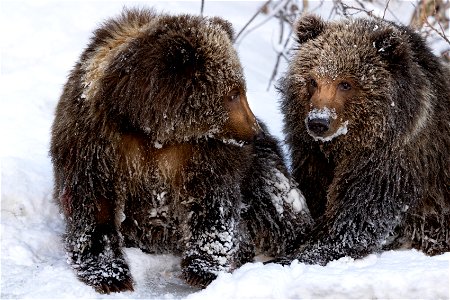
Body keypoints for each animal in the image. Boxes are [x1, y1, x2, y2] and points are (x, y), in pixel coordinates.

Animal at [50, 8, 312, 294]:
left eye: (240, 89)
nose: (255, 131)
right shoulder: (94, 137)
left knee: (275, 198)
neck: (150, 127)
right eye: (233, 93)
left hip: (258, 166)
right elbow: (93, 200)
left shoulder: (200, 150)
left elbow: (212, 198)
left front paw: (203, 269)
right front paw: (110, 275)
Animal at [278, 15, 450, 266]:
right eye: (312, 81)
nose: (318, 122)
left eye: (345, 83)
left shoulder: (391, 161)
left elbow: (356, 217)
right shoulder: (313, 156)